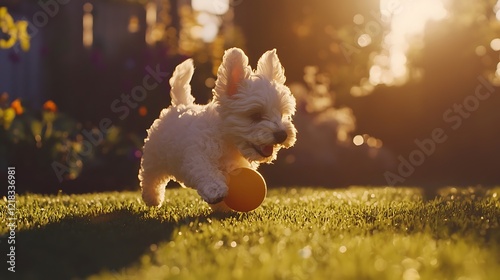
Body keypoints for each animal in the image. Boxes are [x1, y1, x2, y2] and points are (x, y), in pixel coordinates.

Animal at [139, 47, 296, 206]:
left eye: (281, 114)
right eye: (256, 115)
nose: (282, 134)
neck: (229, 143)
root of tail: (180, 104)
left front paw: (223, 207)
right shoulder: (197, 156)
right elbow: (207, 171)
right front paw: (215, 190)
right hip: (154, 156)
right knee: (150, 177)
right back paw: (152, 197)